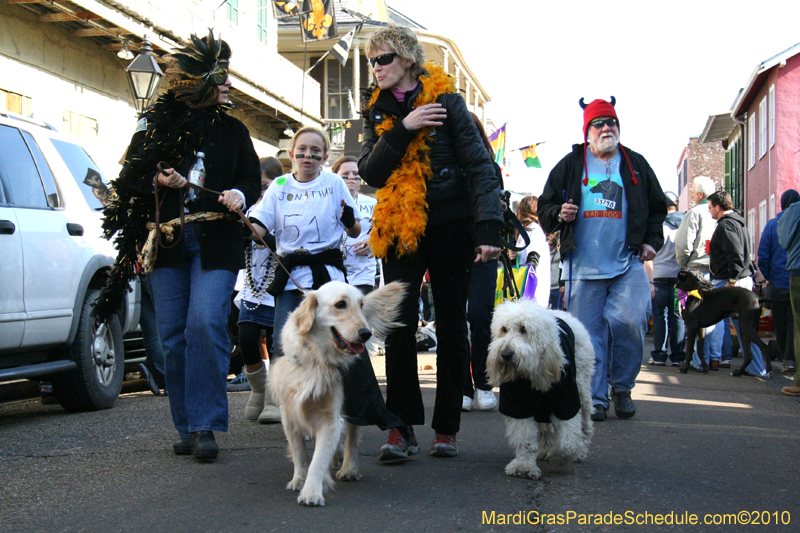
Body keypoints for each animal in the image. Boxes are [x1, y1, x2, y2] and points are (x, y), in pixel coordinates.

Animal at [268, 280, 406, 504]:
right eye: (340, 304)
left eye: (361, 305)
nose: (366, 333)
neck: (316, 357)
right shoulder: (288, 414)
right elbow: (300, 453)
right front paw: (299, 480)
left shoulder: (330, 417)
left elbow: (318, 459)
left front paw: (312, 492)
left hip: (358, 402)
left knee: (352, 437)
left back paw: (349, 468)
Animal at [482, 302, 592, 480]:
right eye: (504, 329)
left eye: (524, 329)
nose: (505, 354)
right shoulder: (517, 404)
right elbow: (524, 438)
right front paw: (524, 465)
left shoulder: (567, 399)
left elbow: (568, 439)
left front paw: (560, 455)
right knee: (545, 427)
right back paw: (545, 449)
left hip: (583, 389)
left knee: (585, 425)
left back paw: (580, 451)